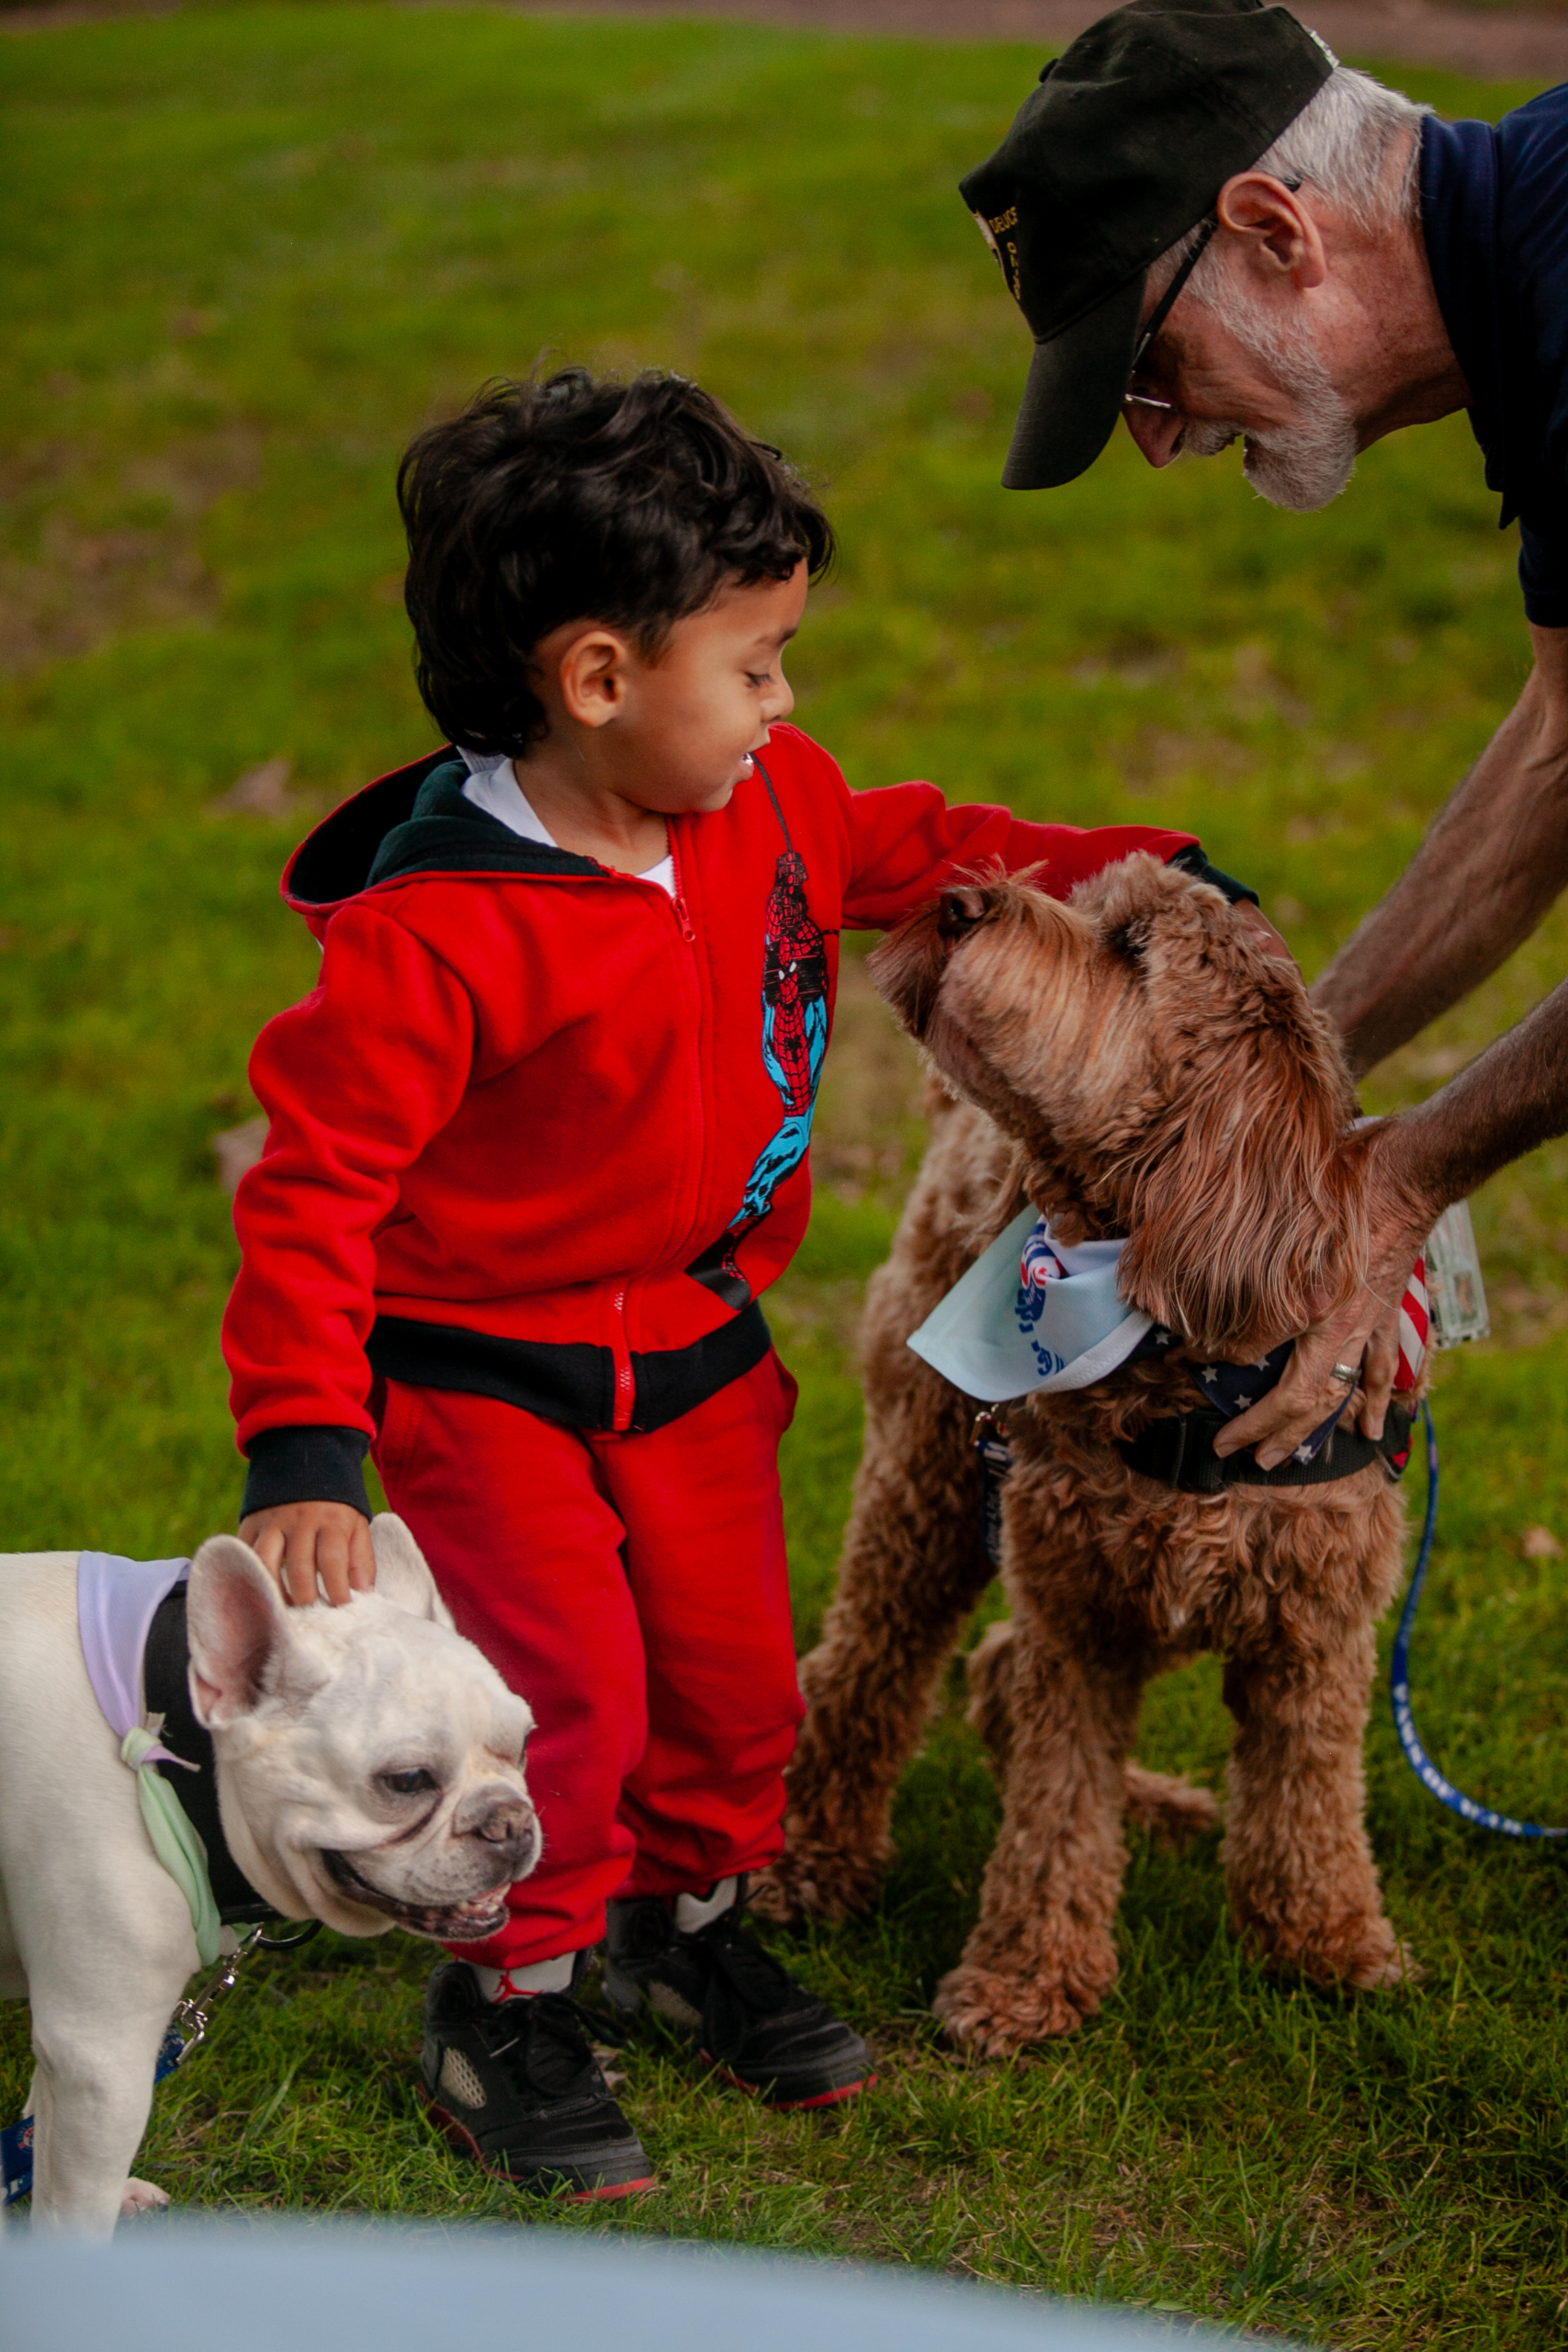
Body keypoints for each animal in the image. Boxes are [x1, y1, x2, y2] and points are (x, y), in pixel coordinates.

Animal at [761, 855, 1419, 2051]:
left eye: (1133, 950)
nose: (959, 900)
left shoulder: (1316, 1628)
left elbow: (1310, 1798)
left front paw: (1329, 1945)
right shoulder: (1080, 1620)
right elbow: (1054, 1813)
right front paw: (1026, 1983)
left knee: (991, 1674)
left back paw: (1163, 1808)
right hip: (934, 1486)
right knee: (867, 1670)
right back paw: (811, 1859)